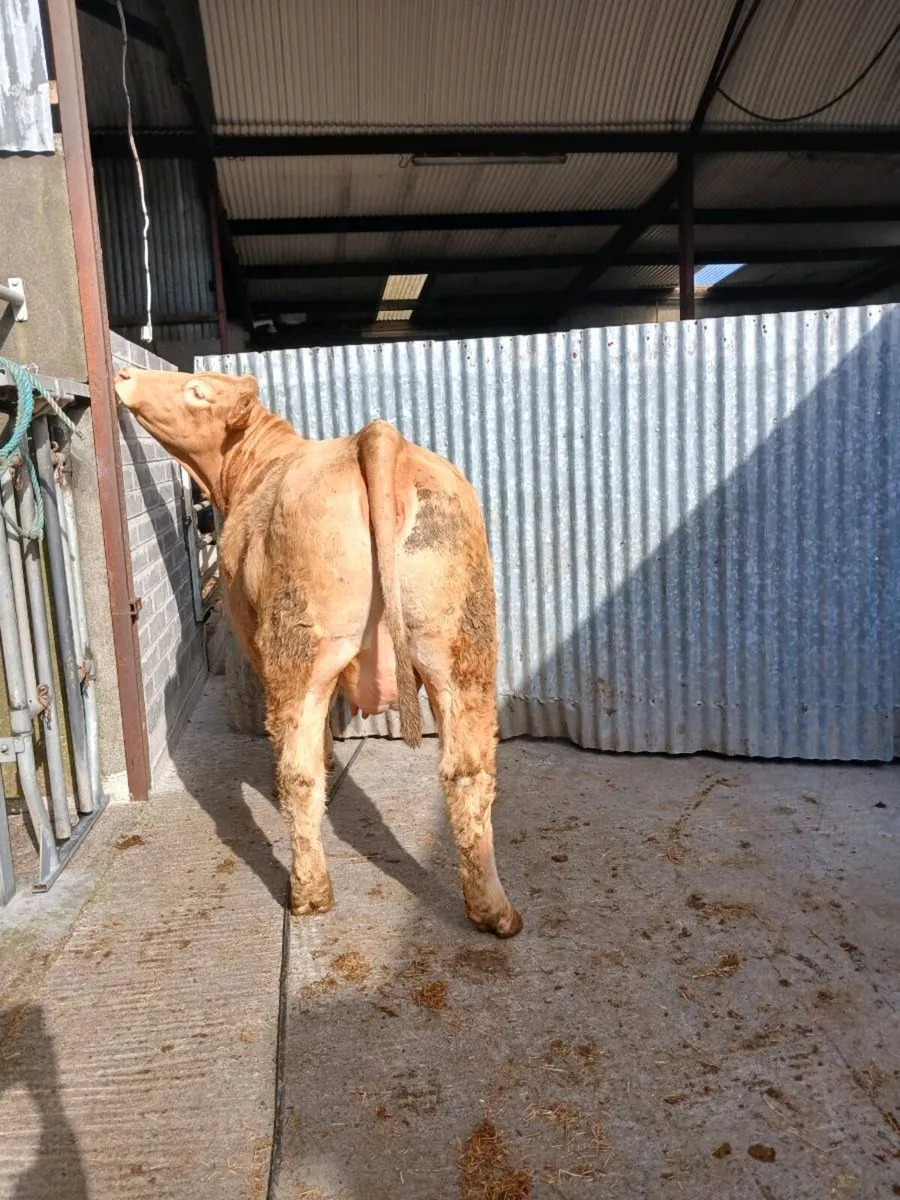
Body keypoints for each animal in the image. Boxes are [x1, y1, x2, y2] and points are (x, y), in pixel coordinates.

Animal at [114, 368, 523, 938]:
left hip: (300, 646)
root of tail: (375, 436)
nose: (125, 372)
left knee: (298, 772)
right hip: (460, 645)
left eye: (197, 389)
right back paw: (494, 911)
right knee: (470, 770)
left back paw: (308, 894)